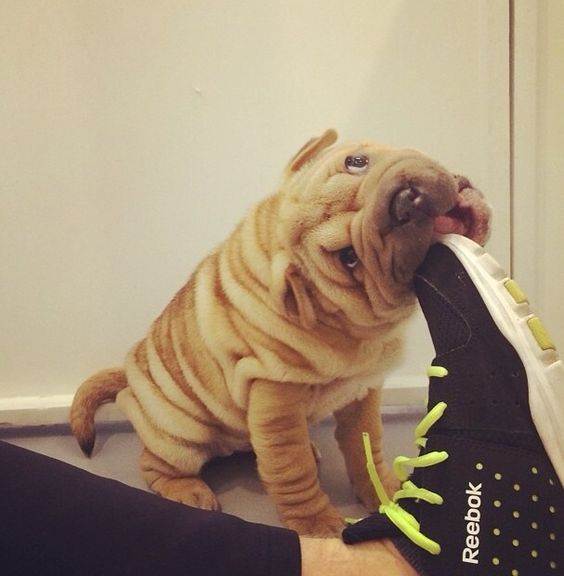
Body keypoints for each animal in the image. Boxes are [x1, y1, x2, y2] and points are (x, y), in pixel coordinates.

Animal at [72, 129, 492, 536]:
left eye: (357, 161)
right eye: (348, 258)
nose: (404, 201)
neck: (345, 325)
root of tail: (128, 375)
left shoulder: (362, 393)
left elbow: (365, 447)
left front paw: (385, 494)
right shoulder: (275, 400)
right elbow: (292, 469)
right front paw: (318, 525)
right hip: (180, 435)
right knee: (157, 464)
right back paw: (189, 490)